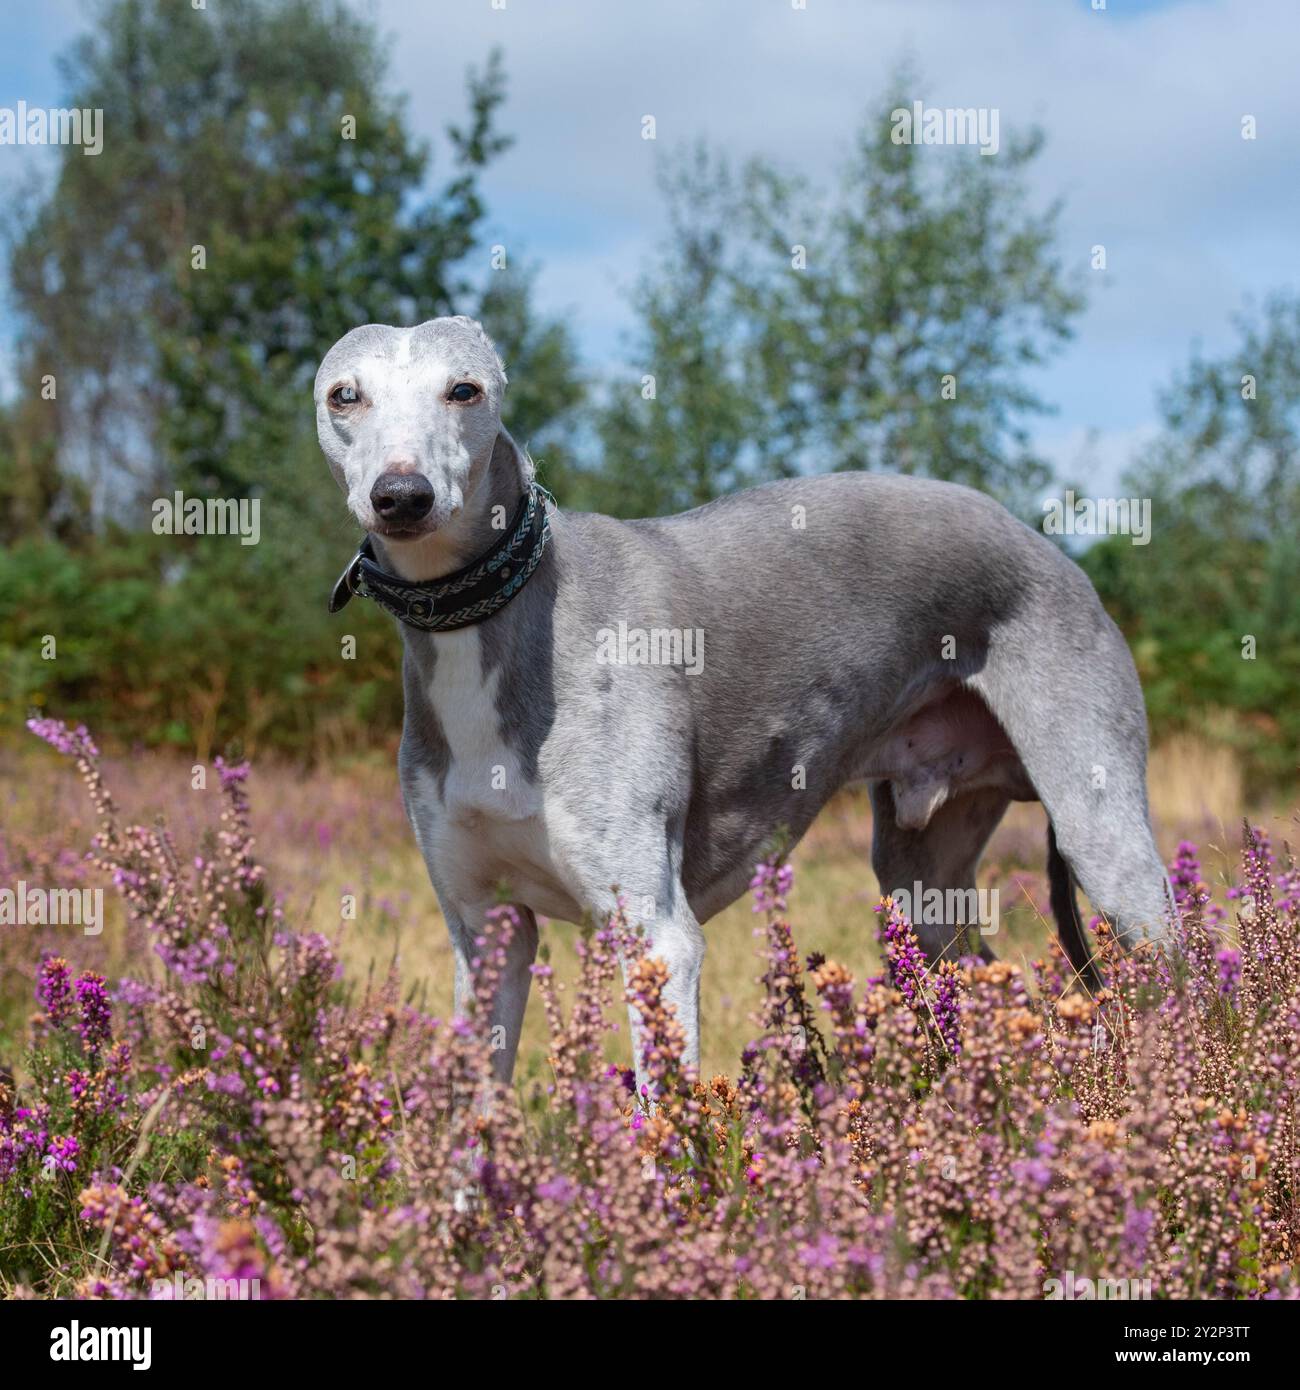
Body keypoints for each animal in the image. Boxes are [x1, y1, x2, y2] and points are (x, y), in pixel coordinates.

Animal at [318, 315, 1179, 1084]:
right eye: (343, 394)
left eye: (464, 389)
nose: (402, 495)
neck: (503, 615)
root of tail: (1048, 549)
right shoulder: (484, 932)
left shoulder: (657, 935)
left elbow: (662, 1126)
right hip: (924, 885)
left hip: (1105, 839)